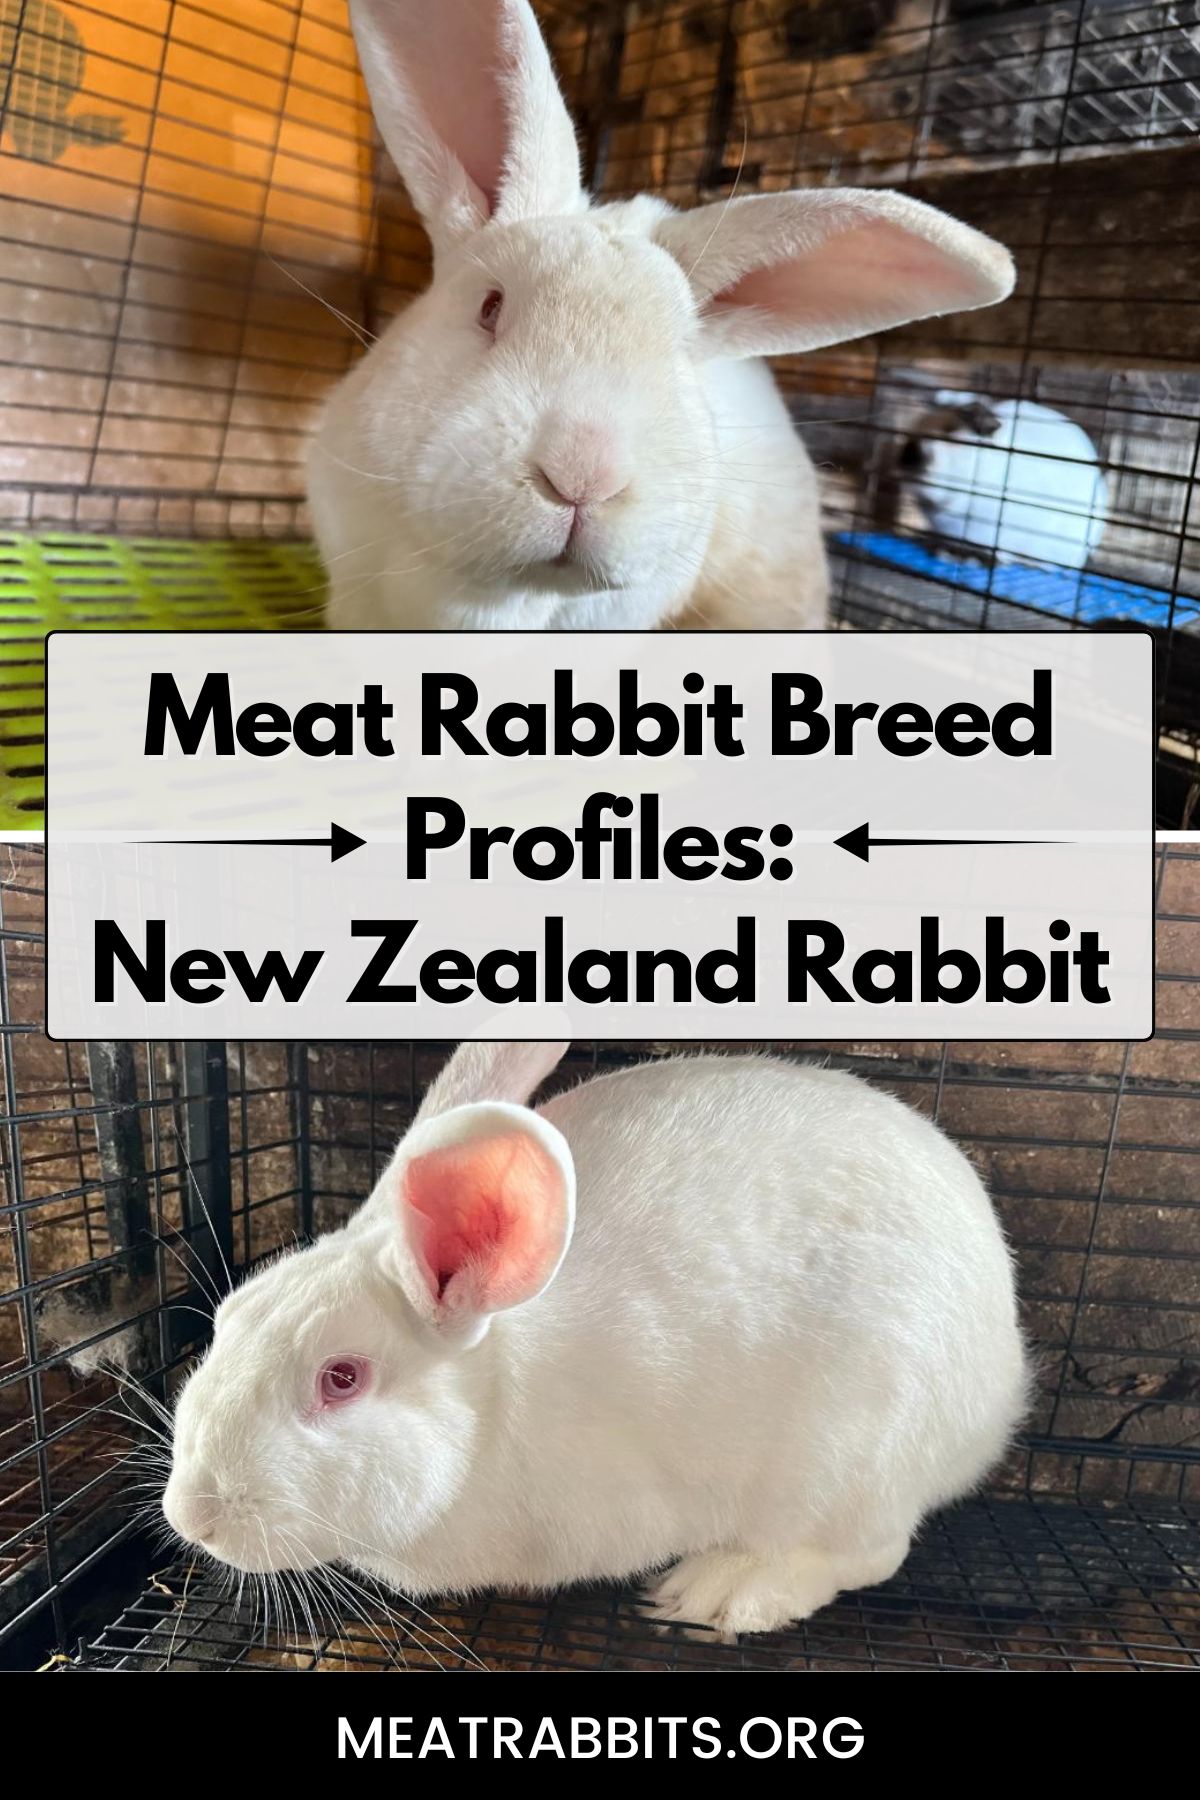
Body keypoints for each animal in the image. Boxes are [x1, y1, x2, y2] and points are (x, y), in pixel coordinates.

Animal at [162, 1041, 1028, 1641]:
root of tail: (1004, 1382)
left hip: (851, 1456)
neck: (493, 1405)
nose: (192, 1517)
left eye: (341, 1378)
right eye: (227, 1318)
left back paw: (719, 1592)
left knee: (869, 1553)